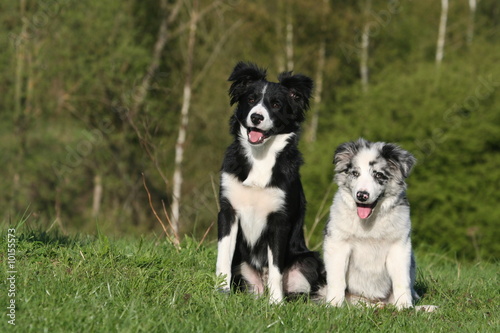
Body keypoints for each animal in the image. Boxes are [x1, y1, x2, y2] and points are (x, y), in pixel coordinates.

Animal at [215, 61, 324, 302]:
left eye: (275, 104)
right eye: (251, 99)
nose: (256, 117)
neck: (260, 157)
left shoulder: (279, 219)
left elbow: (276, 267)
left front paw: (275, 303)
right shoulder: (228, 211)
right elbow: (223, 257)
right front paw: (220, 292)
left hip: (308, 259)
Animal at [324, 138, 438, 312]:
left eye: (378, 175)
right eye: (355, 173)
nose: (362, 195)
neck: (369, 222)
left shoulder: (399, 246)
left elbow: (402, 281)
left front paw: (404, 307)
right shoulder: (337, 243)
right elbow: (337, 279)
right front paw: (333, 305)